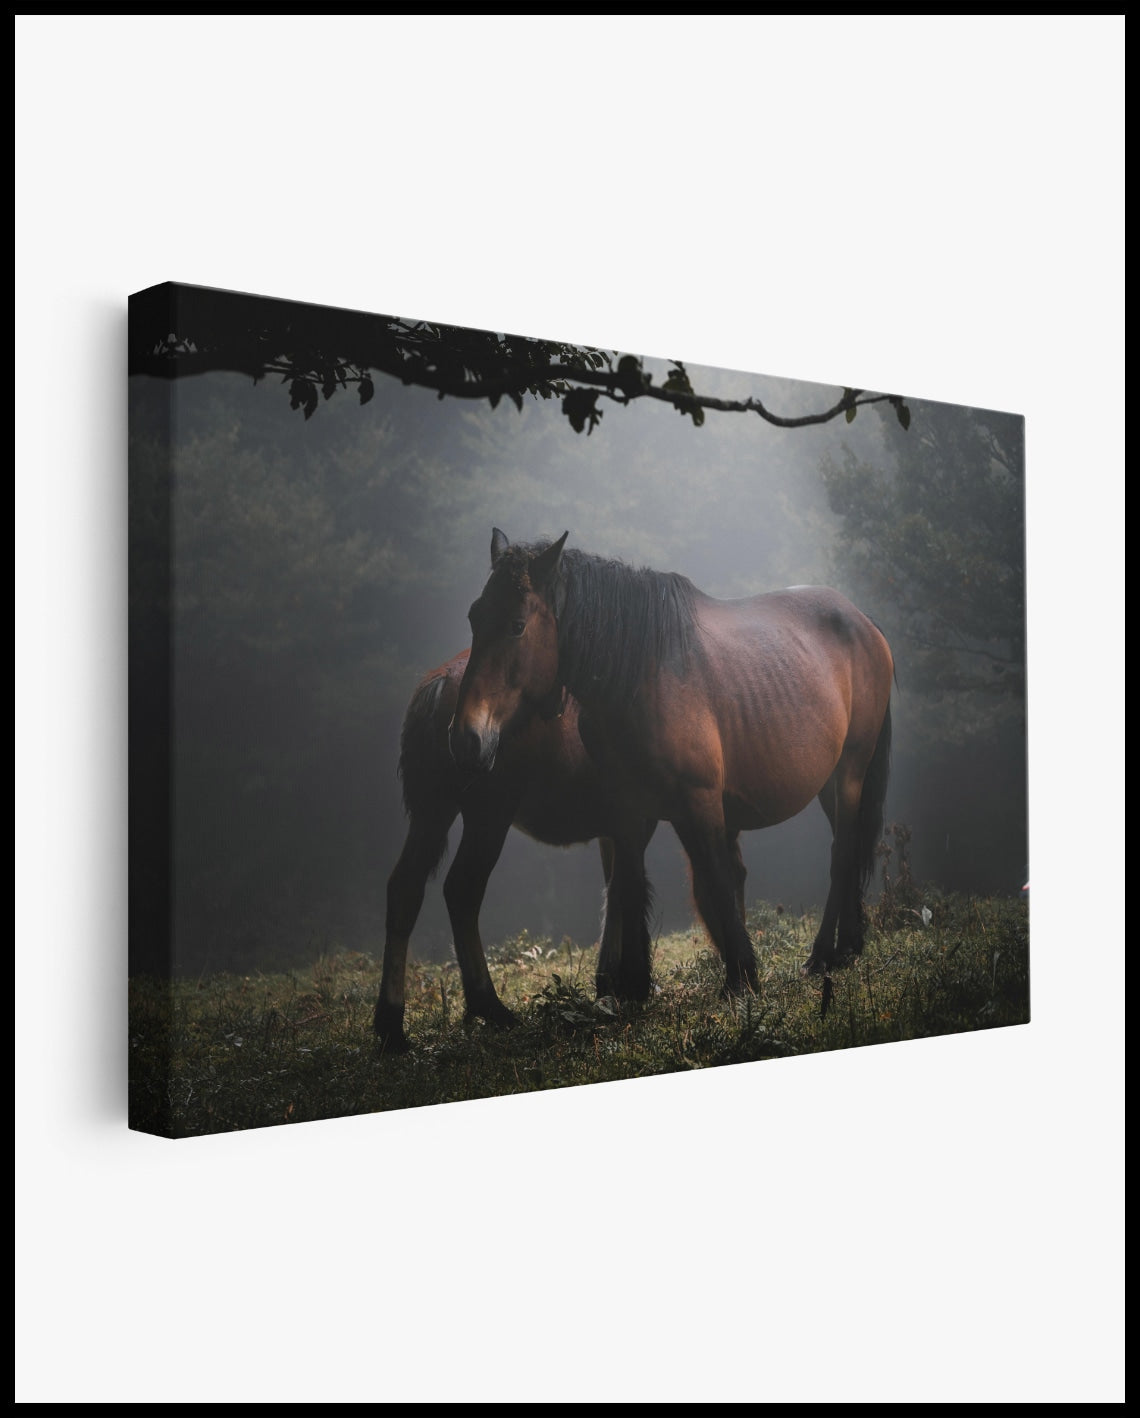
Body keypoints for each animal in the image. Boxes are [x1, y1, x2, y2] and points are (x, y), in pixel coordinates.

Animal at [373, 650, 656, 1051]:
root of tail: (440, 683)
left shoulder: (614, 829)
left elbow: (614, 890)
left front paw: (610, 983)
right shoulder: (636, 820)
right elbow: (628, 889)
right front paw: (633, 983)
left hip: (433, 812)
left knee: (405, 889)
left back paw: (391, 1024)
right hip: (489, 815)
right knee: (461, 890)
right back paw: (489, 1005)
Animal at [449, 529, 894, 1000]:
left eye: (517, 625)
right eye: (475, 617)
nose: (465, 738)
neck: (640, 676)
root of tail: (862, 620)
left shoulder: (701, 801)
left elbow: (716, 878)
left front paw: (741, 978)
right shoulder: (627, 810)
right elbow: (628, 885)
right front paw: (633, 987)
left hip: (850, 772)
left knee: (842, 853)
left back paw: (823, 955)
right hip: (830, 783)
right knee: (848, 847)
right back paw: (848, 946)